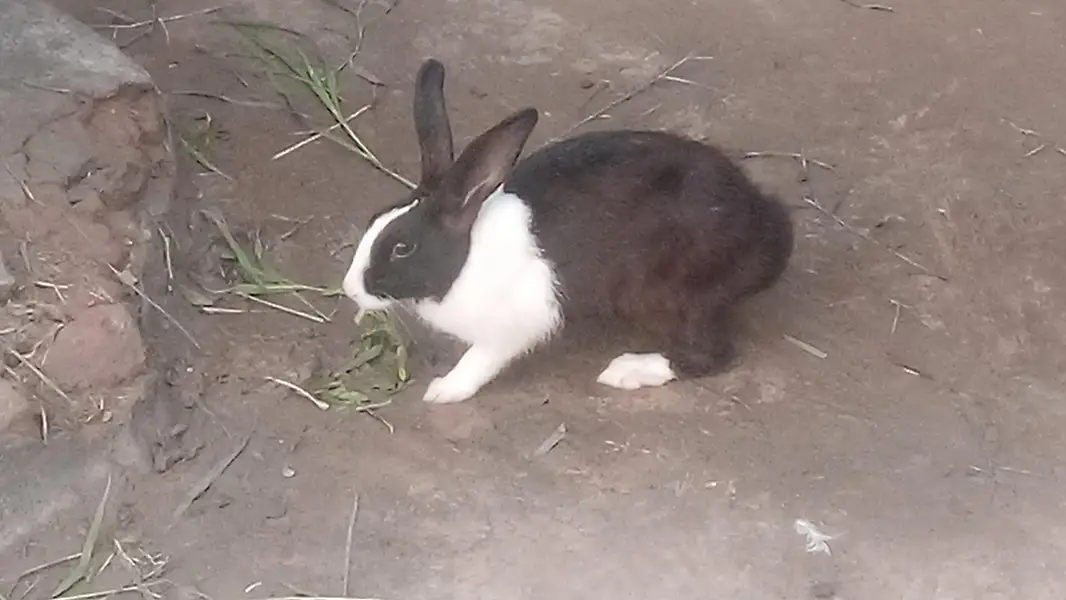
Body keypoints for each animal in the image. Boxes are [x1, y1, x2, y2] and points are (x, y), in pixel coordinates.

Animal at [342, 58, 794, 404]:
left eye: (402, 248)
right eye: (373, 221)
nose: (350, 289)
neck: (466, 258)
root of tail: (769, 231)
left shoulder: (514, 327)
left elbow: (479, 360)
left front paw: (443, 391)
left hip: (672, 293)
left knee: (710, 353)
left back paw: (629, 369)